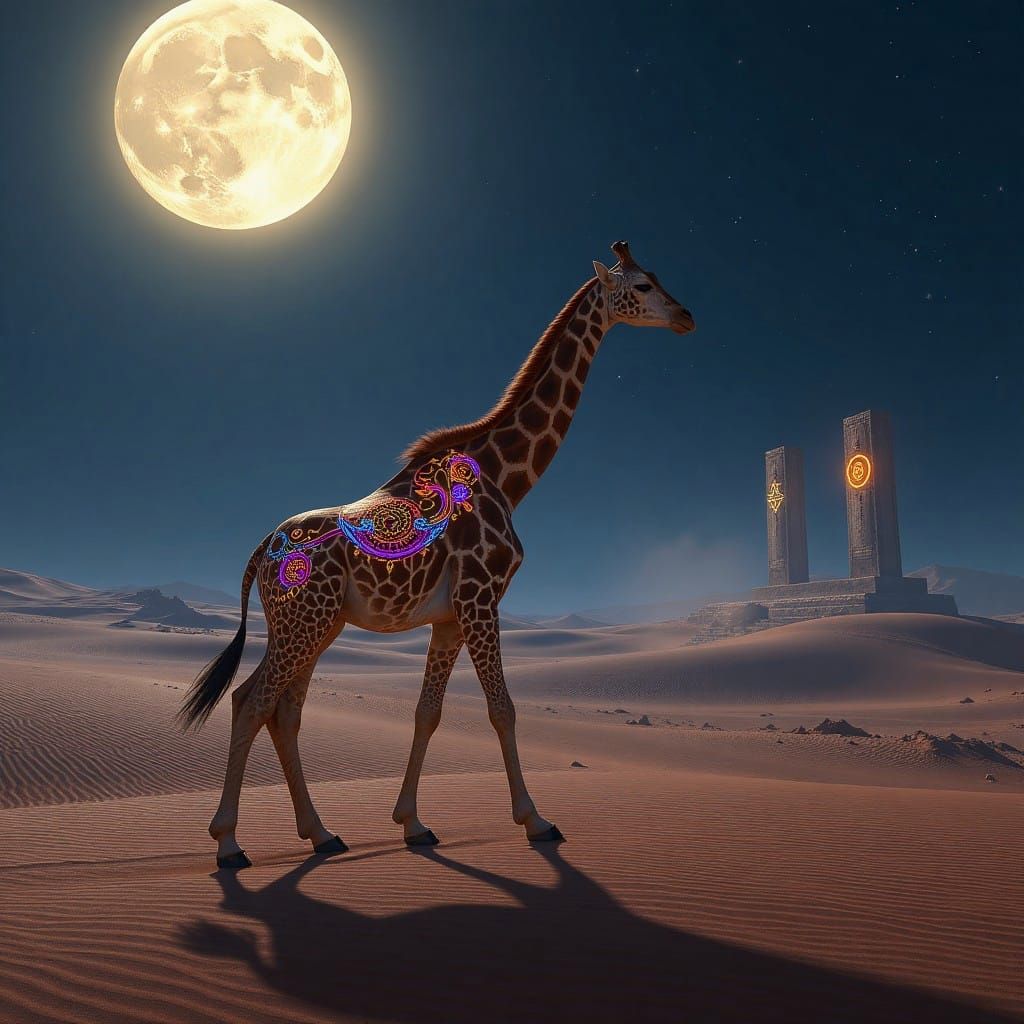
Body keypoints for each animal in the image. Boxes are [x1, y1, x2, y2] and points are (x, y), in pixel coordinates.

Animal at [179, 241, 695, 869]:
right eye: (642, 285)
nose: (687, 317)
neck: (507, 477)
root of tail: (259, 553)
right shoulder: (481, 598)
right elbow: (502, 709)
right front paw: (537, 821)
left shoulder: (450, 616)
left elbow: (428, 713)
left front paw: (413, 824)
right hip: (304, 622)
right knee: (252, 702)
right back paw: (230, 844)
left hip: (313, 625)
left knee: (282, 710)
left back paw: (322, 834)